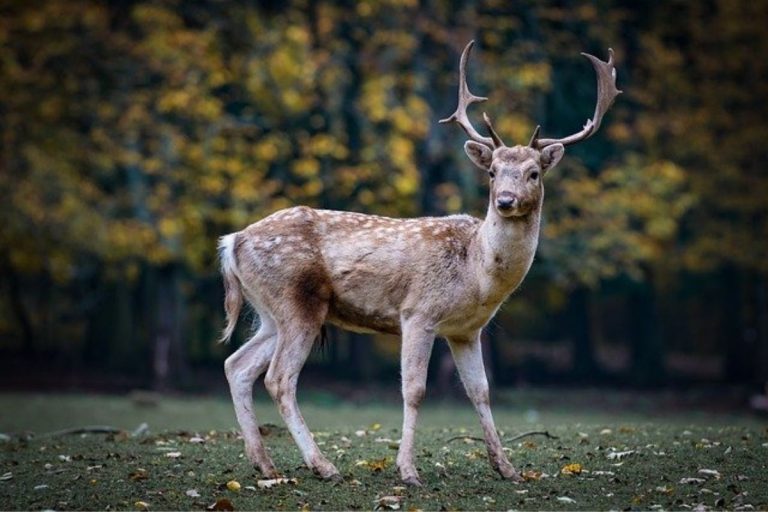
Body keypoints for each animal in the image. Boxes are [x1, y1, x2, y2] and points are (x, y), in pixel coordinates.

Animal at [218, 40, 620, 485]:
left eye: (533, 173)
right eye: (493, 171)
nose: (505, 200)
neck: (476, 273)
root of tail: (231, 242)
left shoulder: (466, 331)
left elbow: (481, 391)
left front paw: (508, 468)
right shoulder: (418, 313)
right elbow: (414, 390)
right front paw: (408, 470)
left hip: (270, 311)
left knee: (237, 365)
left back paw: (264, 463)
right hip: (296, 301)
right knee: (279, 378)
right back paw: (323, 465)